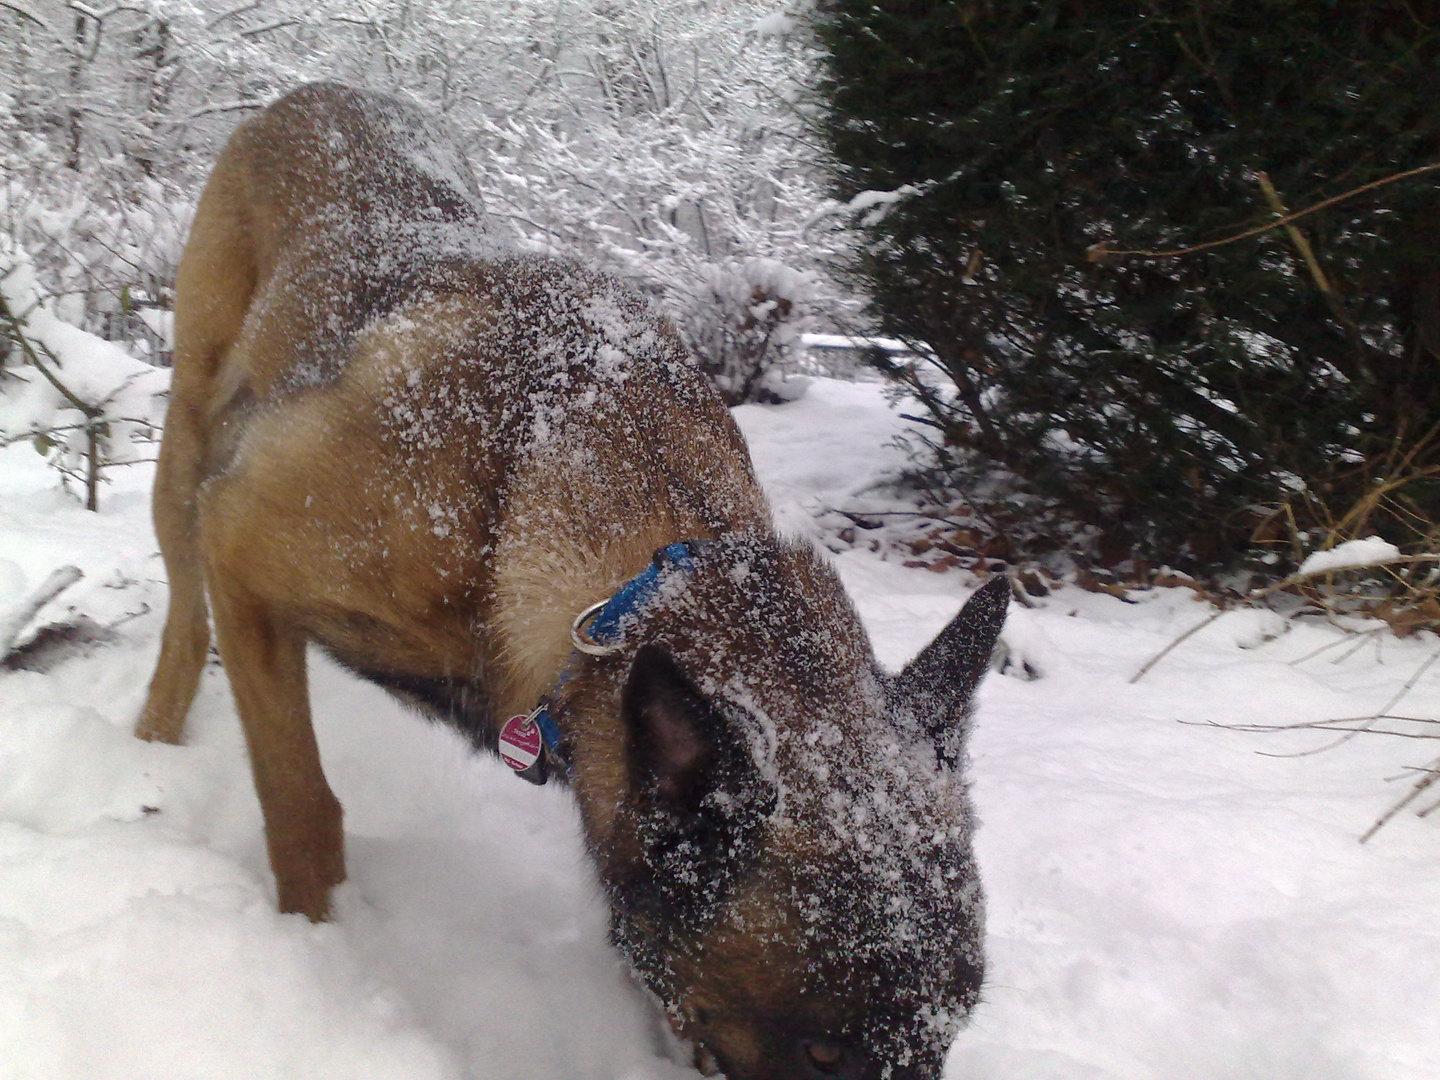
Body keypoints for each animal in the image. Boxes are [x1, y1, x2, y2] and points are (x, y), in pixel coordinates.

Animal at [140, 84, 1008, 1080]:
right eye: (826, 1053)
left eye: (947, 1035)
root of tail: (320, 93)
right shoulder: (239, 539)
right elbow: (301, 805)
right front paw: (311, 953)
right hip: (189, 451)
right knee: (183, 617)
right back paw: (151, 736)